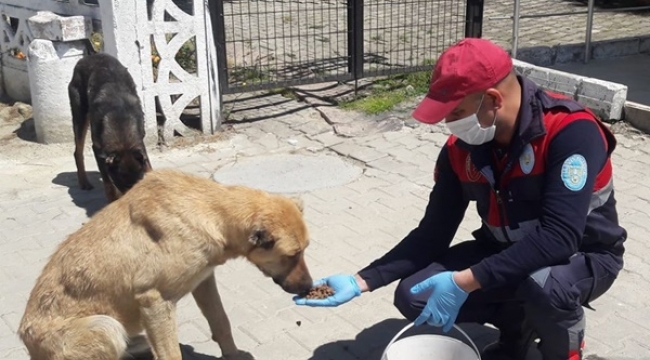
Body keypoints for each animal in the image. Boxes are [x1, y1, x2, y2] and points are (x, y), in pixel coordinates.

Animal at [19, 169, 312, 360]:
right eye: (292, 255)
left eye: (305, 250)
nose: (309, 287)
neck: (211, 210)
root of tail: (26, 341)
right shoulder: (154, 302)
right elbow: (171, 354)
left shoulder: (204, 280)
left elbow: (221, 321)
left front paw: (233, 355)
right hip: (105, 326)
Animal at [68, 52, 152, 202]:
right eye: (122, 185)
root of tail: (91, 55)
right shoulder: (99, 151)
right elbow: (109, 185)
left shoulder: (140, 145)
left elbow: (149, 167)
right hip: (80, 116)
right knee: (77, 152)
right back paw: (84, 182)